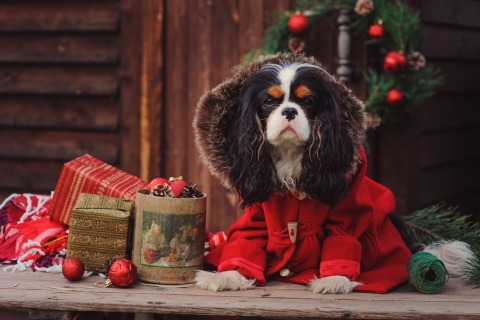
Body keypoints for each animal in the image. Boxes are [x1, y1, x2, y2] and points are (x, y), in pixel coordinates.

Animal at [193, 53, 410, 296]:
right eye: (269, 101)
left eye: (308, 102)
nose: (289, 111)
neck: (290, 153)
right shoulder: (257, 214)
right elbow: (247, 239)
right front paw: (228, 275)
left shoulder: (348, 209)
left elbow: (342, 236)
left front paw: (335, 279)